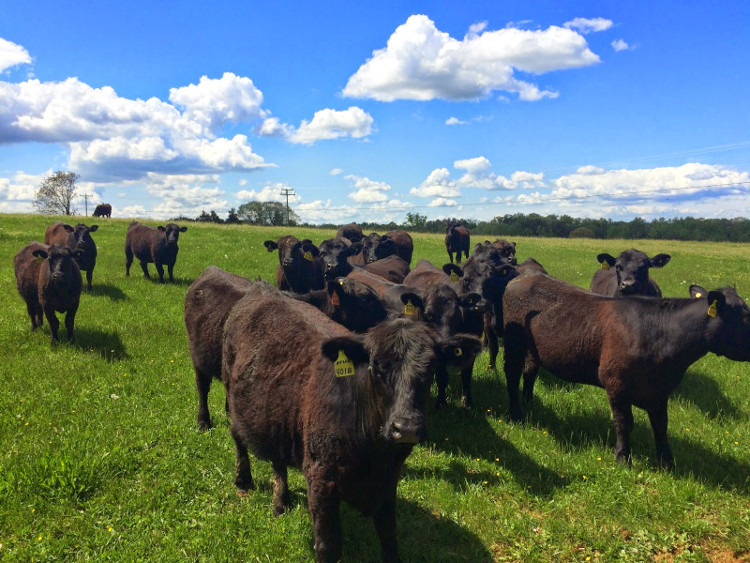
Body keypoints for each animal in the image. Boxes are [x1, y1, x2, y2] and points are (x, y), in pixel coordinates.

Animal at [223, 284, 478, 562]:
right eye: (376, 368)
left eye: (430, 370)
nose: (406, 428)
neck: (373, 452)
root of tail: (261, 289)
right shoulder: (321, 479)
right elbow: (328, 546)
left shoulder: (388, 480)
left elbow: (389, 536)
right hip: (230, 394)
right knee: (237, 437)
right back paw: (243, 480)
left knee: (278, 462)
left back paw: (281, 501)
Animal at [502, 273, 750, 468]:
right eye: (743, 315)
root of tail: (523, 277)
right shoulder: (616, 383)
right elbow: (624, 423)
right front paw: (623, 458)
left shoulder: (660, 391)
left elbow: (661, 425)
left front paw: (667, 462)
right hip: (514, 343)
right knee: (512, 376)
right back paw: (516, 415)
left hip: (534, 349)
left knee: (530, 371)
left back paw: (528, 404)